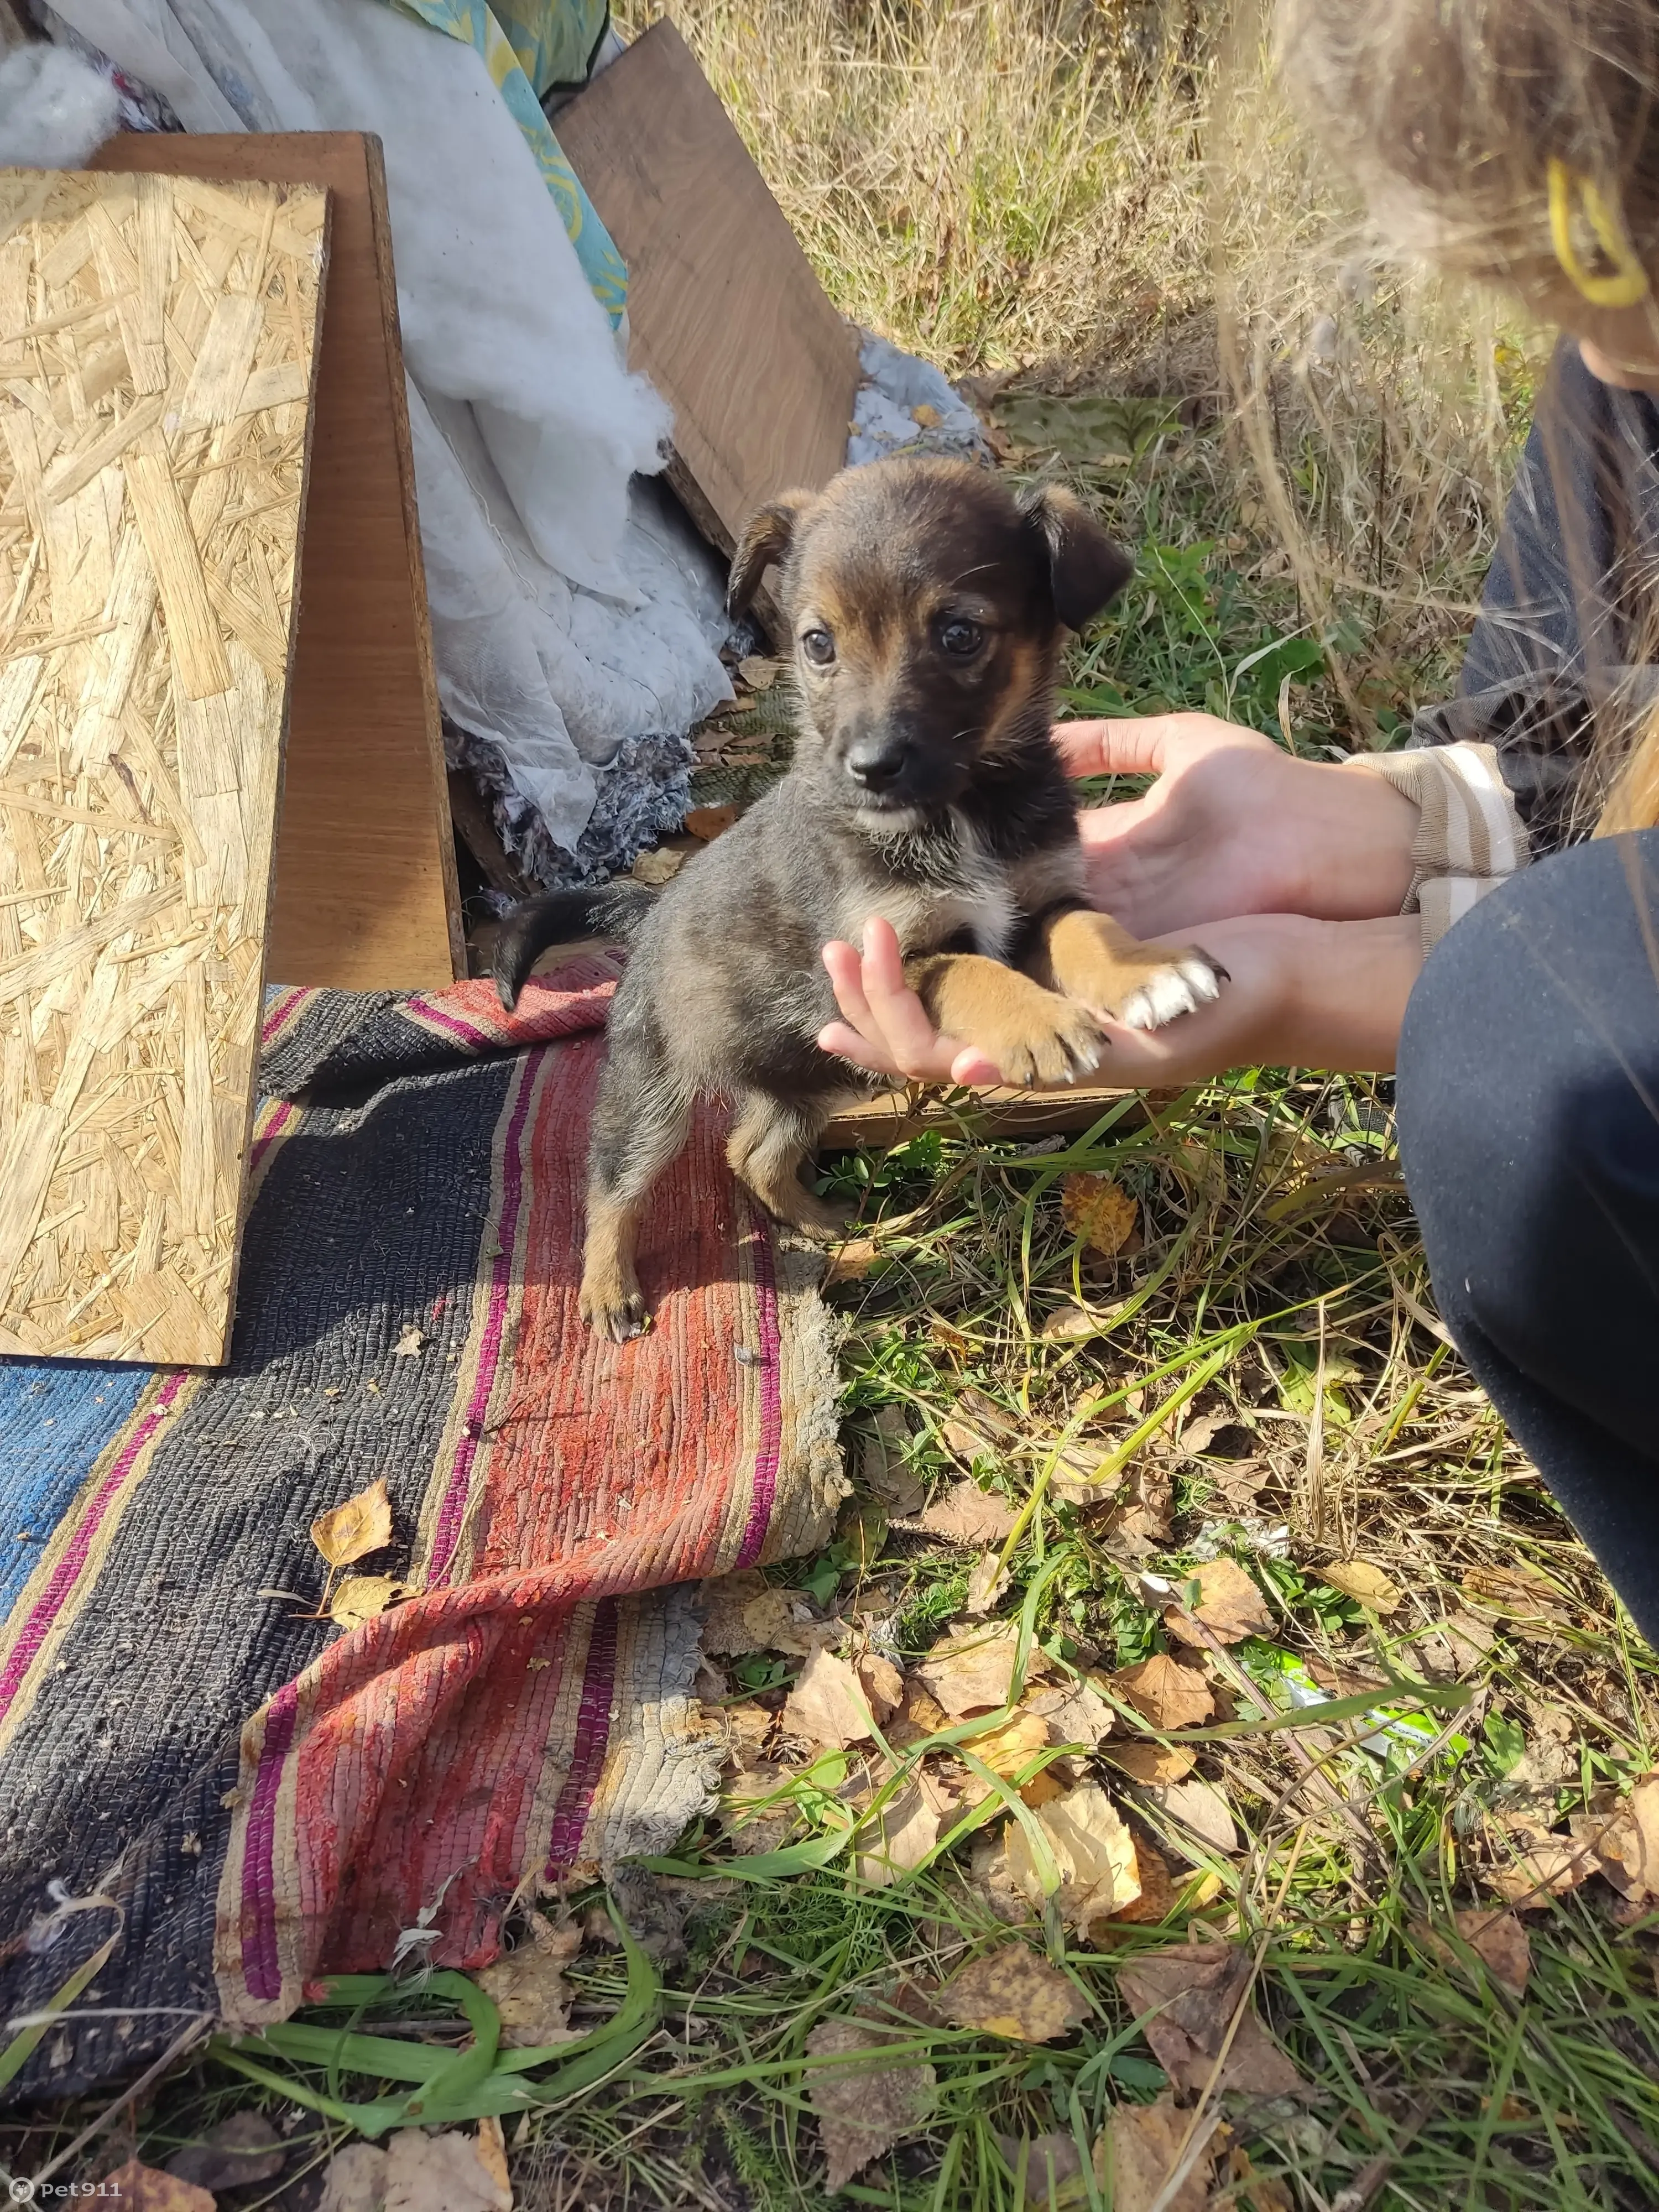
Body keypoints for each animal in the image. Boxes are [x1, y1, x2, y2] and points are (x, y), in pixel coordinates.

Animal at [500, 458, 1230, 1336]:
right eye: (819, 644)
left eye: (960, 634)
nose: (872, 767)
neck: (959, 812)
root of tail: (653, 907)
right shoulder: (884, 956)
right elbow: (970, 971)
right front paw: (1041, 1023)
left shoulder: (1039, 899)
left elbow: (1087, 927)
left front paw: (1146, 973)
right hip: (655, 1080)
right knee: (613, 1183)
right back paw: (609, 1290)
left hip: (808, 1076)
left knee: (751, 1151)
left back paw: (818, 1223)